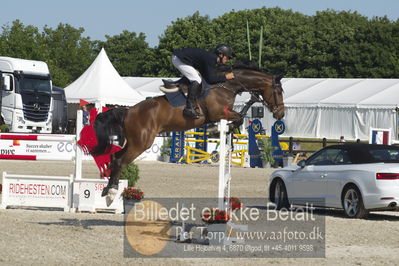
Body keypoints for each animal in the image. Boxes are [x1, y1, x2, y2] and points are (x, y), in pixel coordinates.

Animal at [92, 65, 286, 204]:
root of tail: (128, 111)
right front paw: (217, 129)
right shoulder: (218, 113)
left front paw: (225, 129)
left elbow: (240, 117)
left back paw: (107, 188)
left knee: (115, 157)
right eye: (278, 92)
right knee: (120, 161)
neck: (226, 86)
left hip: (135, 142)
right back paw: (111, 191)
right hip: (141, 143)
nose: (280, 114)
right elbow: (239, 117)